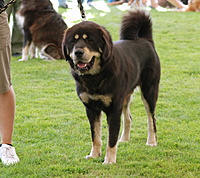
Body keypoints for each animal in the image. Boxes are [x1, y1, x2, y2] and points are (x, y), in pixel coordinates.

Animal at [62, 9, 161, 163]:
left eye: (89, 40)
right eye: (73, 41)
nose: (78, 52)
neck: (94, 77)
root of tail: (145, 40)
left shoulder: (113, 109)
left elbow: (111, 139)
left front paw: (109, 160)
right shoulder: (91, 109)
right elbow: (95, 136)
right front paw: (94, 155)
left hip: (149, 91)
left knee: (152, 119)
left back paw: (151, 142)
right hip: (126, 97)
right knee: (128, 118)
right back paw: (125, 139)